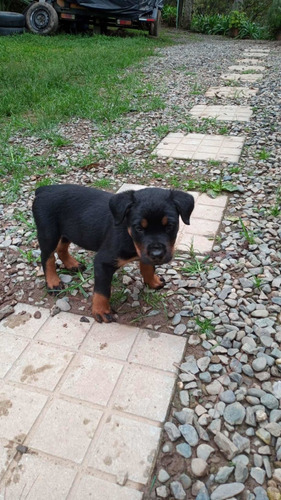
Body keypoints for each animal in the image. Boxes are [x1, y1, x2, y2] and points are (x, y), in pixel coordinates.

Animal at [31, 186, 194, 322]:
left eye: (170, 226)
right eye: (139, 228)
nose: (157, 253)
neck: (128, 234)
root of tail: (43, 189)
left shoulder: (144, 252)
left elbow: (147, 267)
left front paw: (152, 281)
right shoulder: (103, 262)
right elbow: (102, 290)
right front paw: (101, 311)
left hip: (69, 230)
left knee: (61, 247)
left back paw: (72, 264)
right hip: (48, 233)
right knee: (47, 257)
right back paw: (53, 282)